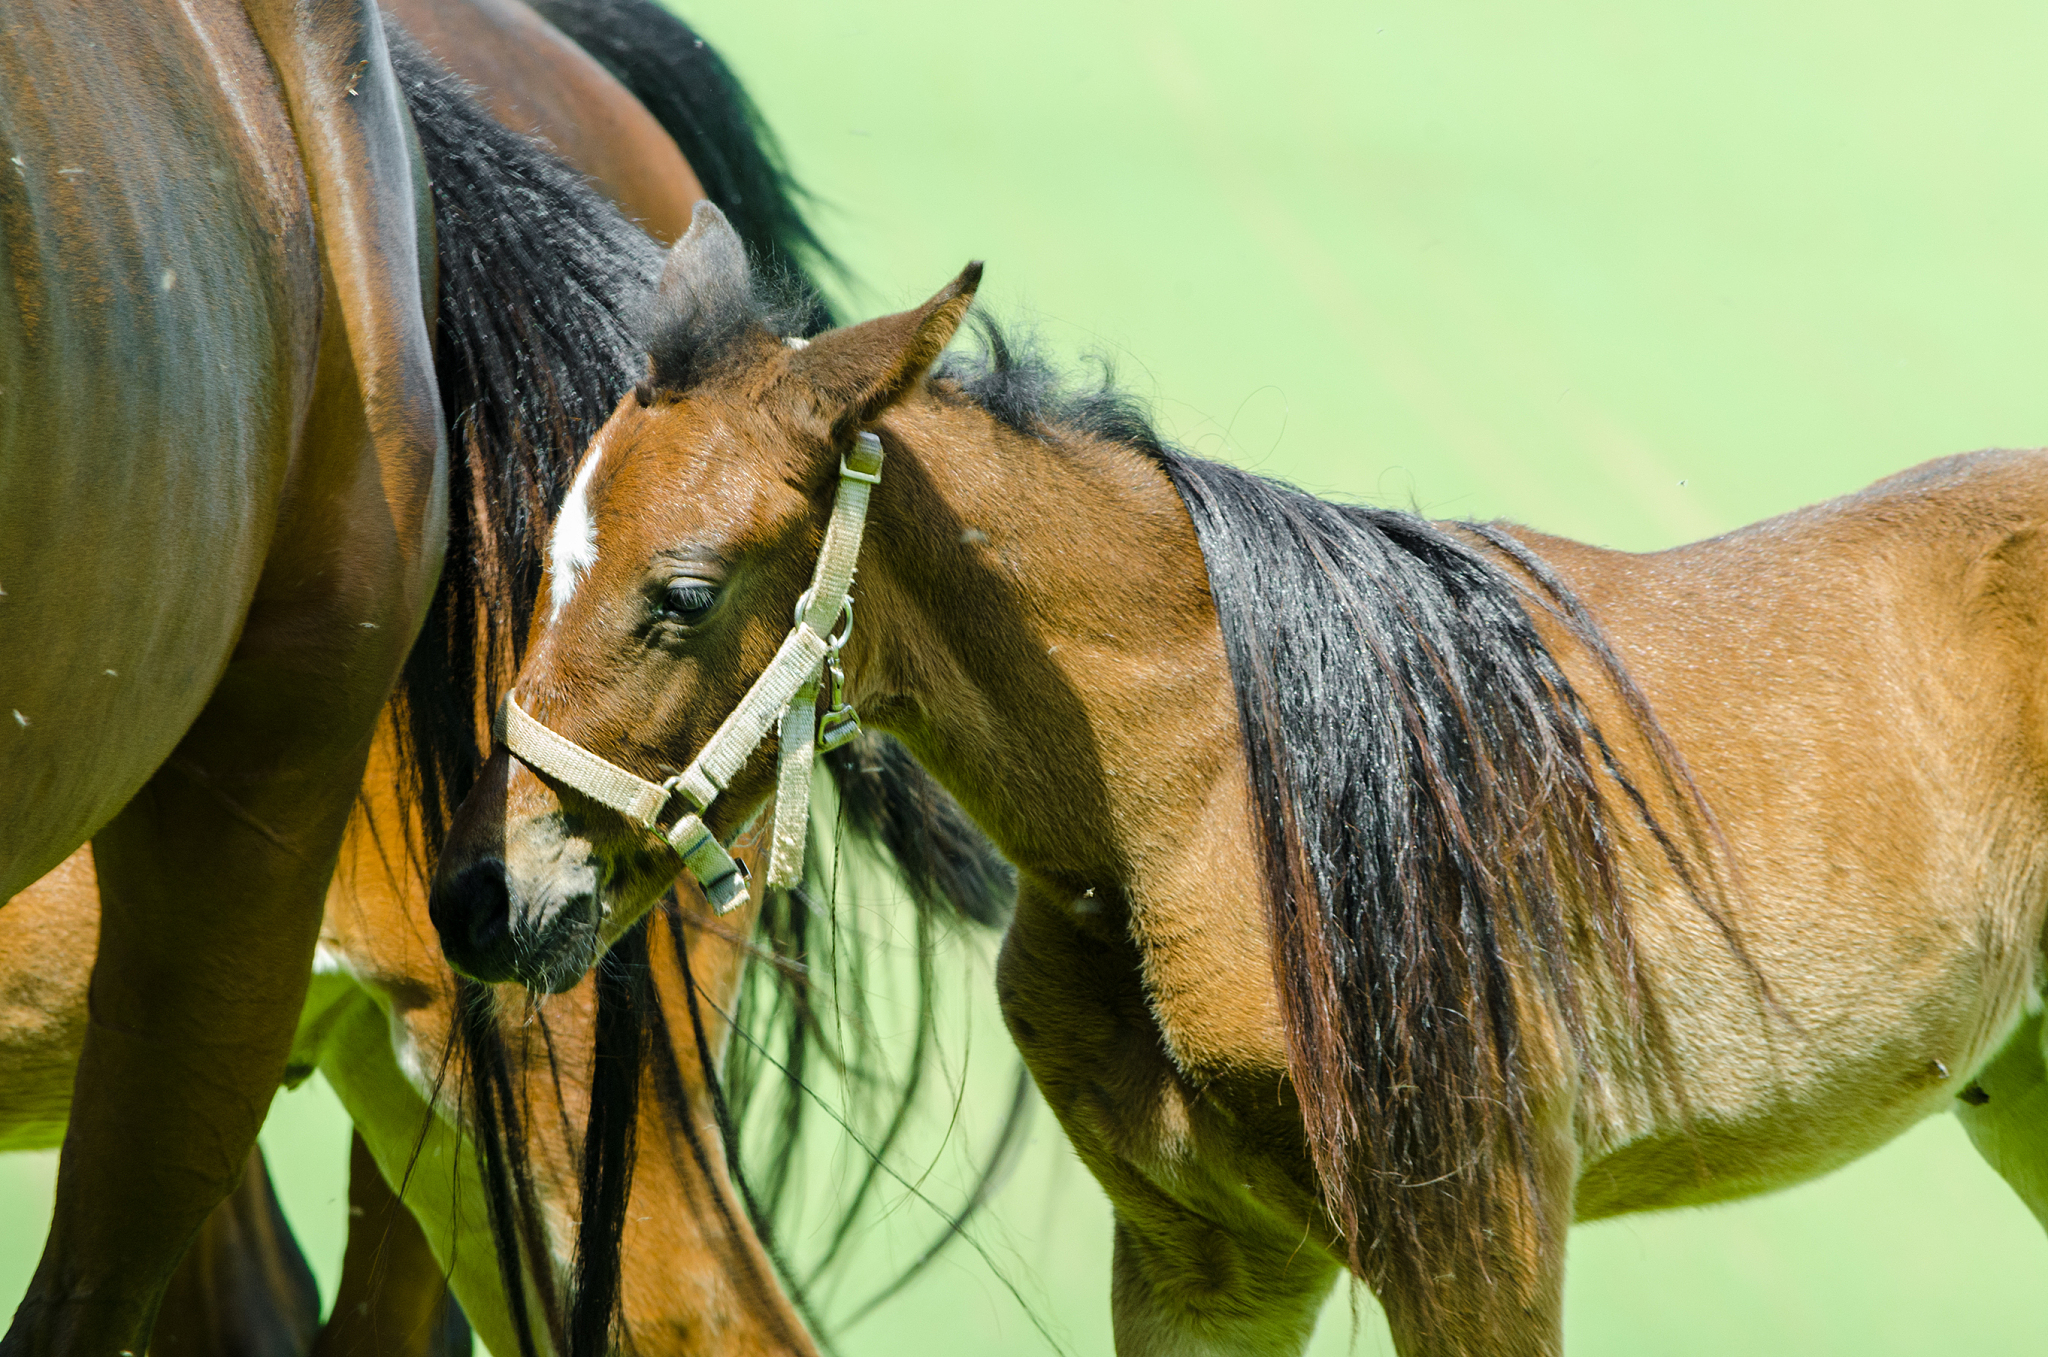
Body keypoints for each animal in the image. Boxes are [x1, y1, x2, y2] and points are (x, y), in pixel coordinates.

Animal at [426, 208, 2048, 1356]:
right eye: (550, 550)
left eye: (684, 596)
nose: (486, 894)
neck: (1208, 800)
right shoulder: (1208, 1263)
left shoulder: (1479, 1249)